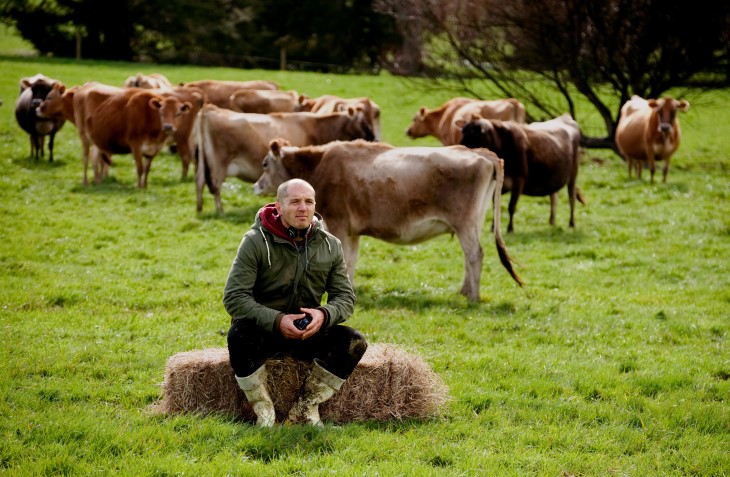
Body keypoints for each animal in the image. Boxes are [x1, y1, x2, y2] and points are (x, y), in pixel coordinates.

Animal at [193, 106, 376, 214]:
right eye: (363, 122)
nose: (373, 137)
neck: (316, 127)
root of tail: (209, 109)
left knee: (200, 181)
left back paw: (200, 208)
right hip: (219, 164)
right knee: (215, 185)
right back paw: (220, 210)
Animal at [253, 139, 520, 302]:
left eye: (265, 163)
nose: (256, 186)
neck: (320, 165)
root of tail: (478, 151)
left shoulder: (338, 222)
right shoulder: (353, 230)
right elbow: (349, 260)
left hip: (465, 222)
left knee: (474, 254)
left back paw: (473, 297)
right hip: (473, 222)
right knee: (469, 256)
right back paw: (464, 291)